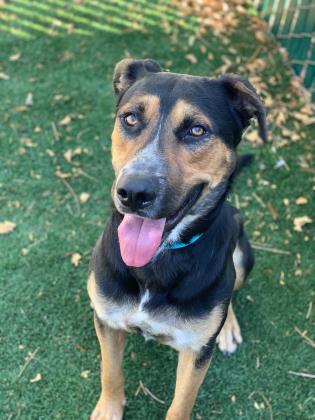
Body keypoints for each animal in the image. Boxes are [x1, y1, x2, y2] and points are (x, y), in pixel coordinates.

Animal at [87, 59, 268, 420]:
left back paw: (227, 326)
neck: (158, 262)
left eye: (197, 130)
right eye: (130, 118)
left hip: (242, 251)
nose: (133, 193)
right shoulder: (107, 321)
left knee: (231, 288)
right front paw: (109, 409)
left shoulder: (196, 352)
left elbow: (182, 402)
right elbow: (110, 372)